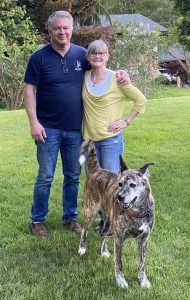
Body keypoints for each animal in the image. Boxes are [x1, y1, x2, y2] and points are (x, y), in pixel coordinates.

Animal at [78, 140, 155, 288]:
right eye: (119, 184)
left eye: (132, 185)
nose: (119, 197)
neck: (136, 212)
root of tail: (97, 169)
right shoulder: (119, 239)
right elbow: (119, 263)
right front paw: (121, 281)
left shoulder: (144, 239)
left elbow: (142, 264)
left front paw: (143, 281)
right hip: (90, 211)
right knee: (84, 230)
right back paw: (82, 248)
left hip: (108, 220)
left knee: (103, 233)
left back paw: (104, 251)